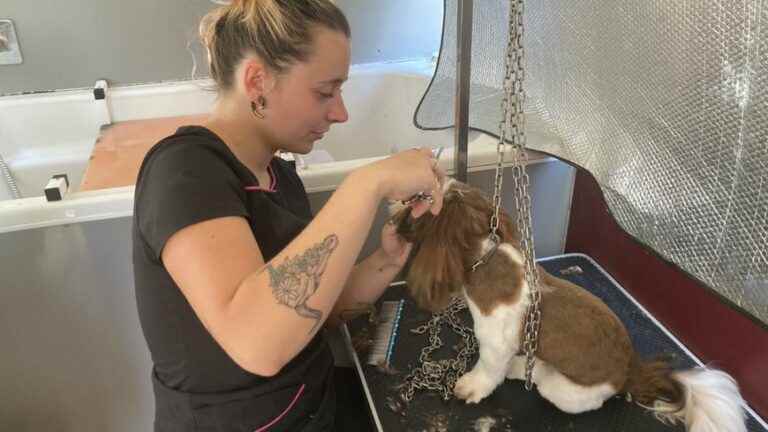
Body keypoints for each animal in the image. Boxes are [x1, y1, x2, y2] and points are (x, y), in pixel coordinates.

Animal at [390, 178, 744, 432]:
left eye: (419, 200)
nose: (396, 203)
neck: (487, 259)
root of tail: (632, 369)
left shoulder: (494, 344)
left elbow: (488, 371)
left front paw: (471, 387)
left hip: (564, 391)